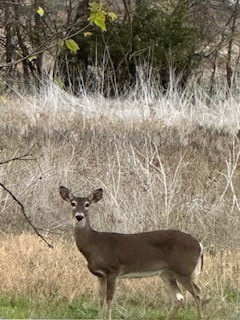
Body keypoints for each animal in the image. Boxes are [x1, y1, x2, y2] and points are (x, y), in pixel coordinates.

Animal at [59, 186, 203, 320]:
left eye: (87, 204)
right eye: (72, 203)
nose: (79, 216)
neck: (94, 244)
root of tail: (199, 246)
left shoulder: (113, 270)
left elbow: (109, 299)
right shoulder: (100, 275)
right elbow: (100, 299)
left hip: (183, 270)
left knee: (197, 293)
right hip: (167, 273)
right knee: (178, 297)